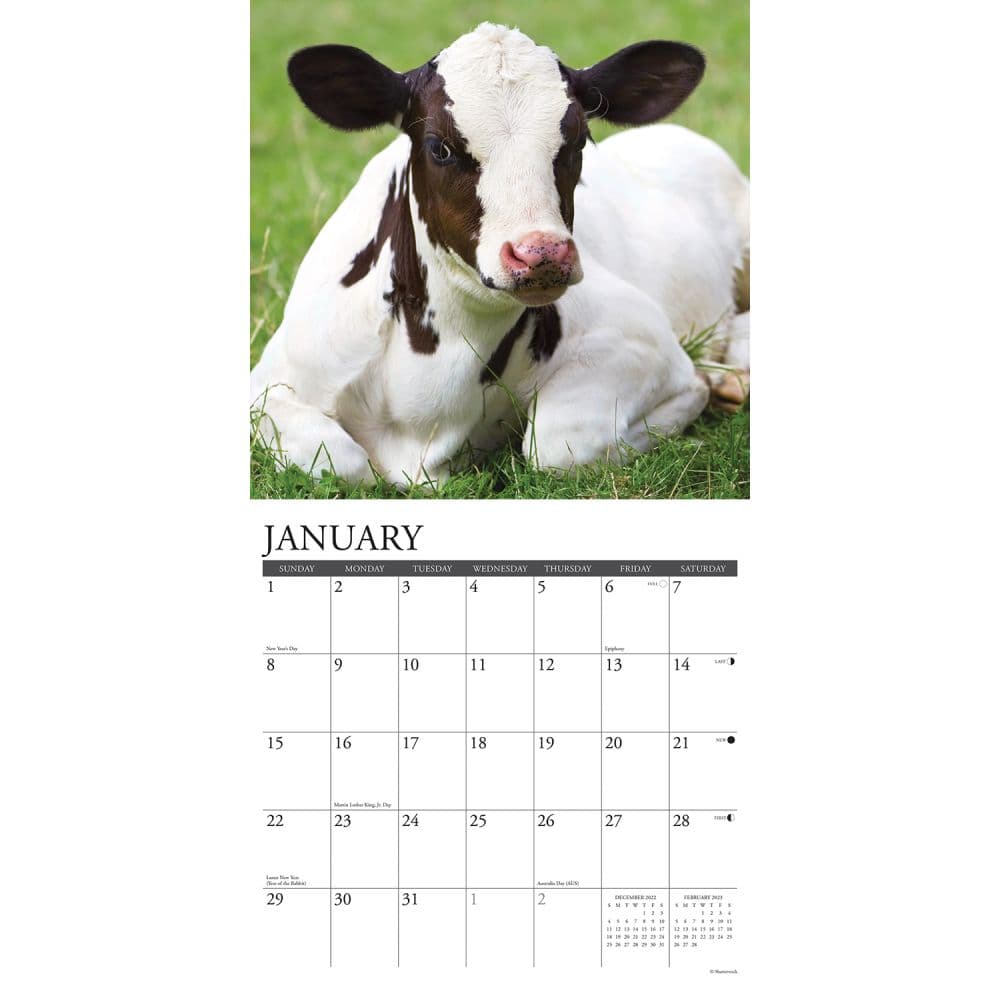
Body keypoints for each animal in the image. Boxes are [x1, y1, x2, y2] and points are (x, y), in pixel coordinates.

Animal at [250, 22, 750, 487]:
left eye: (577, 141)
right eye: (440, 147)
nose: (542, 253)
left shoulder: (641, 340)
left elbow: (556, 442)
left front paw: (704, 390)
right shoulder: (271, 385)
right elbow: (342, 462)